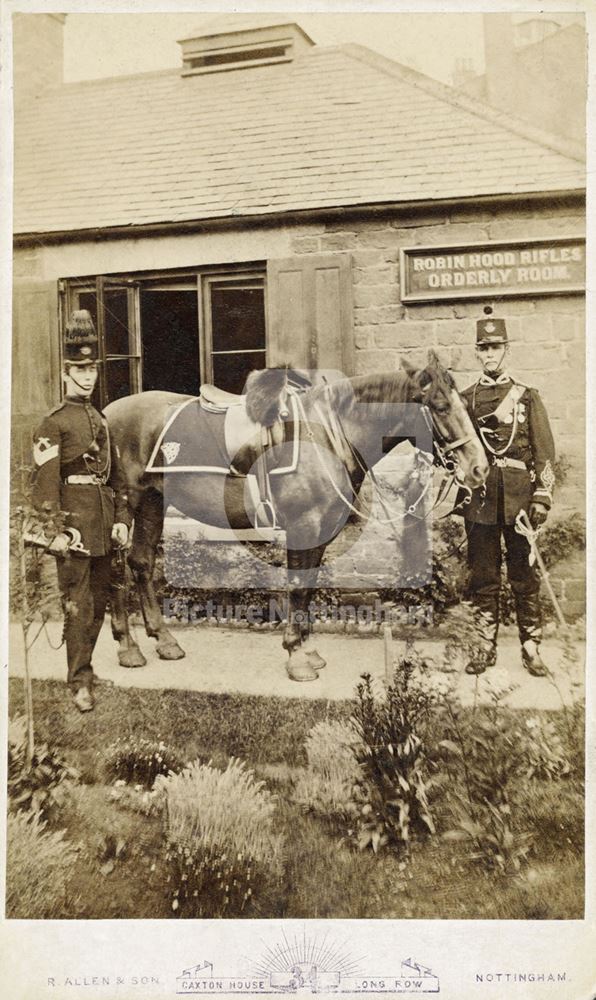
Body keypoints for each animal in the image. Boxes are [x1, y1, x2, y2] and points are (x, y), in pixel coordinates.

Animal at [106, 348, 488, 684]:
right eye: (440, 406)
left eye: (464, 403)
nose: (479, 468)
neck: (328, 434)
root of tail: (106, 414)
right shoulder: (304, 527)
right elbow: (298, 587)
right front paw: (296, 657)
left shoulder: (320, 532)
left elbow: (309, 586)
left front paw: (307, 650)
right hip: (122, 507)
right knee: (115, 570)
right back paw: (127, 647)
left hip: (153, 502)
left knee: (140, 563)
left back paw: (164, 640)